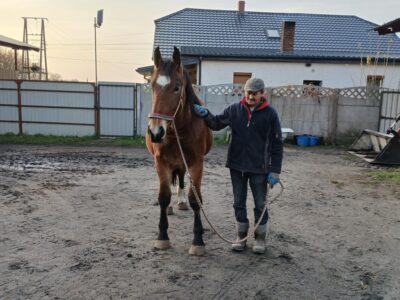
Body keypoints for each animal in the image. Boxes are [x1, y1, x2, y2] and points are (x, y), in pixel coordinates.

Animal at [146, 47, 212, 255]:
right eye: (152, 86)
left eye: (177, 87)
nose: (156, 132)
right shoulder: (161, 162)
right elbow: (163, 196)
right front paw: (162, 237)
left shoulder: (197, 163)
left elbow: (195, 199)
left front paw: (198, 241)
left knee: (182, 178)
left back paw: (181, 201)